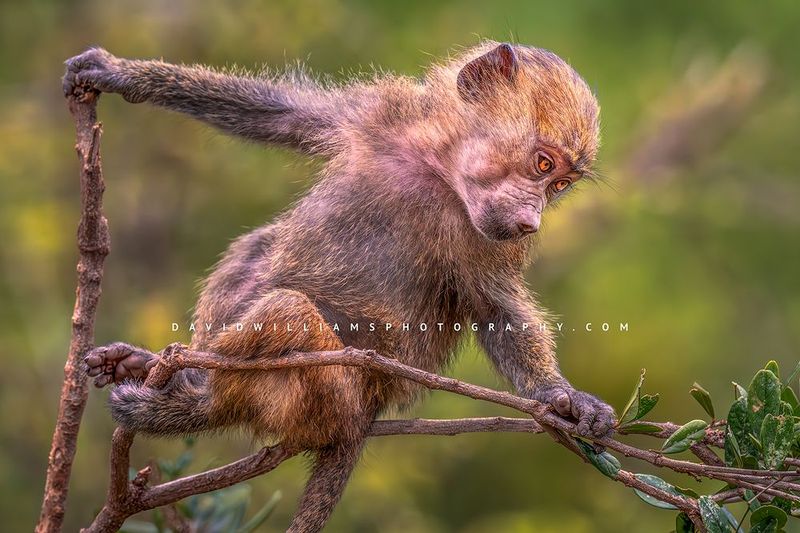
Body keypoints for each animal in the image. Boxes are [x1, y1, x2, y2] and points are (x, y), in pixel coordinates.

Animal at [66, 41, 615, 532]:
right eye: (544, 165)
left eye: (558, 186)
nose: (530, 222)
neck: (437, 171)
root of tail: (363, 416)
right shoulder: (373, 117)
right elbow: (276, 115)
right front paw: (115, 72)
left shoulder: (485, 244)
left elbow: (497, 309)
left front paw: (563, 398)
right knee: (257, 249)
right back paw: (152, 368)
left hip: (329, 390)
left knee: (287, 312)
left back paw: (195, 407)